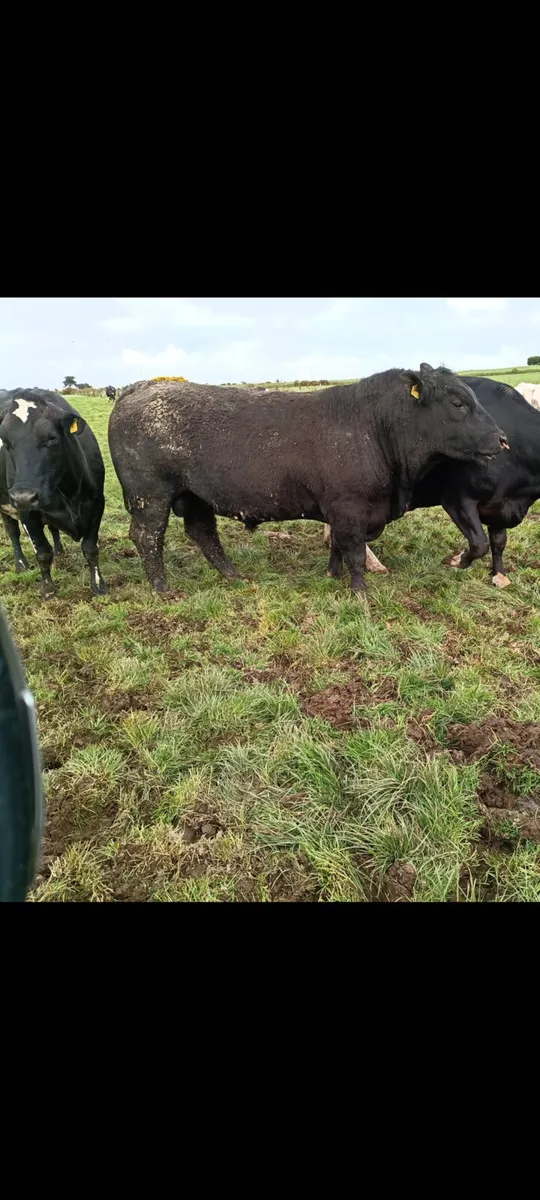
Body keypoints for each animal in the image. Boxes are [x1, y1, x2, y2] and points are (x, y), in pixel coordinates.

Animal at [0, 388, 107, 598]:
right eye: (6, 442)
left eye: (51, 437)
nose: (23, 496)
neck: (71, 492)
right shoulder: (27, 513)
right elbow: (42, 553)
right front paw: (48, 589)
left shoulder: (96, 504)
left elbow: (90, 548)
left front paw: (98, 585)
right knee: (12, 531)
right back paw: (21, 564)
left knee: (52, 529)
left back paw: (59, 550)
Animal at [108, 365, 507, 597]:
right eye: (457, 403)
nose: (502, 439)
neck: (373, 426)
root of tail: (140, 388)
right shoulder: (349, 508)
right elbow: (354, 552)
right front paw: (360, 595)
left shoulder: (341, 510)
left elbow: (338, 548)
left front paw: (332, 576)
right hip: (150, 496)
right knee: (147, 537)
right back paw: (163, 590)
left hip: (194, 495)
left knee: (203, 533)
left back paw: (235, 577)